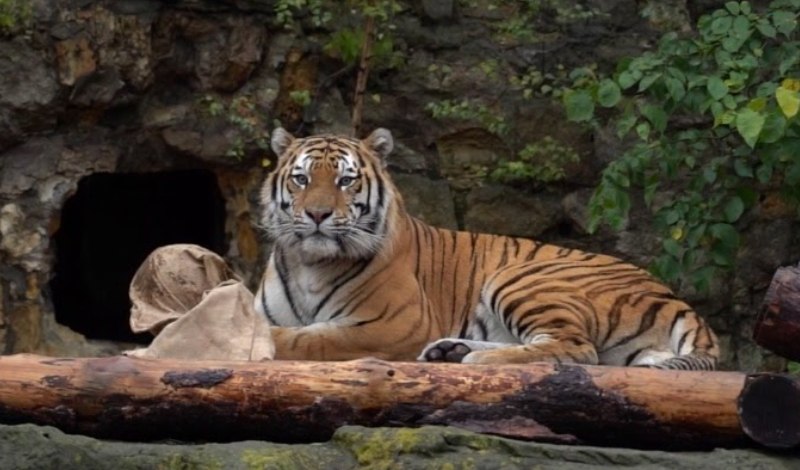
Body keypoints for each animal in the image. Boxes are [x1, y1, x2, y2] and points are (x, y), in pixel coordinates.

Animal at [255, 126, 720, 370]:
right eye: (301, 179)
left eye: (346, 181)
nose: (317, 214)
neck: (310, 262)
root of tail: (674, 297)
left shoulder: (390, 325)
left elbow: (311, 339)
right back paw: (451, 350)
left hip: (521, 278)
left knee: (576, 349)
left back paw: (474, 361)